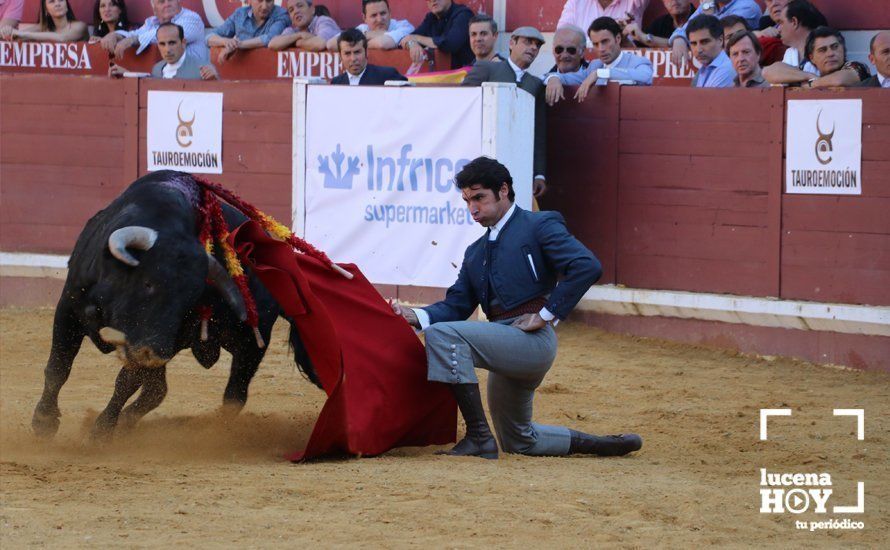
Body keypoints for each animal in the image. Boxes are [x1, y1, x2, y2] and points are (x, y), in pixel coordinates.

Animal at [33, 172, 320, 440]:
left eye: (191, 299)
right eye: (148, 283)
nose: (156, 351)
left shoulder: (144, 343)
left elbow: (124, 382)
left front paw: (101, 432)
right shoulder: (69, 308)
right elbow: (59, 367)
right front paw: (44, 422)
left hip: (249, 344)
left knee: (233, 396)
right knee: (157, 390)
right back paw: (127, 425)